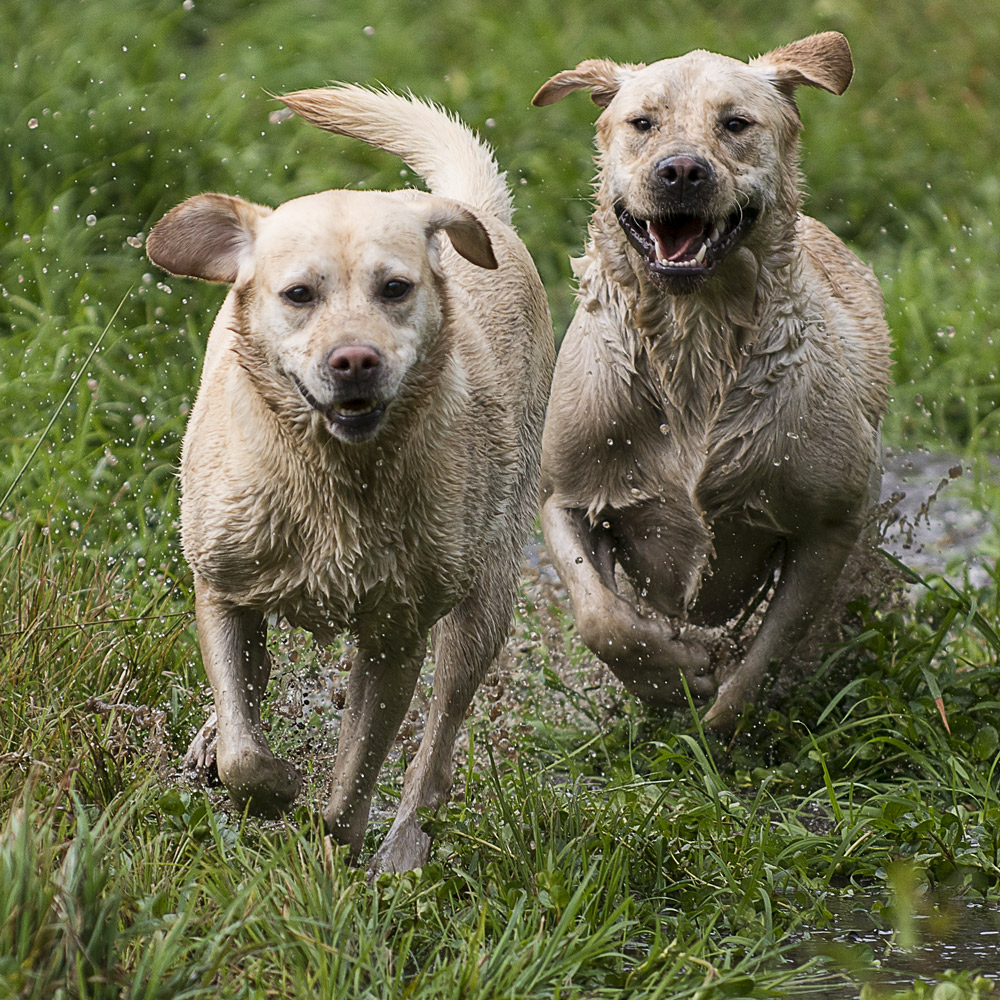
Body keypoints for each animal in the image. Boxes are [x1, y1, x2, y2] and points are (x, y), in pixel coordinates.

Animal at [146, 86, 556, 872]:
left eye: (394, 288)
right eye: (298, 294)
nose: (355, 361)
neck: (335, 478)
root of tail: (463, 206)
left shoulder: (396, 638)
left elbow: (356, 777)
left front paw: (330, 842)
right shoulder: (220, 589)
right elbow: (246, 746)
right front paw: (265, 781)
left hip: (483, 597)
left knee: (439, 740)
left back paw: (405, 846)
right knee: (249, 689)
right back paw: (215, 735)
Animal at [532, 31, 892, 732]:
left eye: (736, 123)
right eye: (642, 123)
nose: (680, 171)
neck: (693, 342)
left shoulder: (829, 527)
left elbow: (771, 650)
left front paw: (723, 714)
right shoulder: (566, 495)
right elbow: (602, 619)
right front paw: (671, 676)